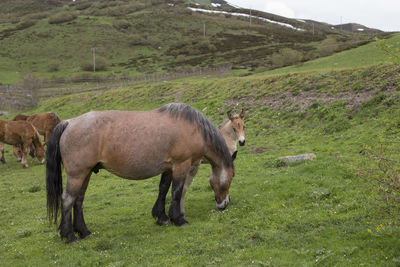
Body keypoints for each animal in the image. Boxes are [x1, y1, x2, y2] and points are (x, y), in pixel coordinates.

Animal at [46, 103, 234, 245]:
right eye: (231, 177)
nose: (224, 204)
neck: (194, 128)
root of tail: (69, 123)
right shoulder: (181, 165)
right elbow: (176, 192)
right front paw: (178, 220)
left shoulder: (168, 167)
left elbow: (163, 189)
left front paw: (161, 217)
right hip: (77, 175)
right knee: (68, 200)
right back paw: (69, 236)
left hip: (86, 174)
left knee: (78, 201)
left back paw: (84, 232)